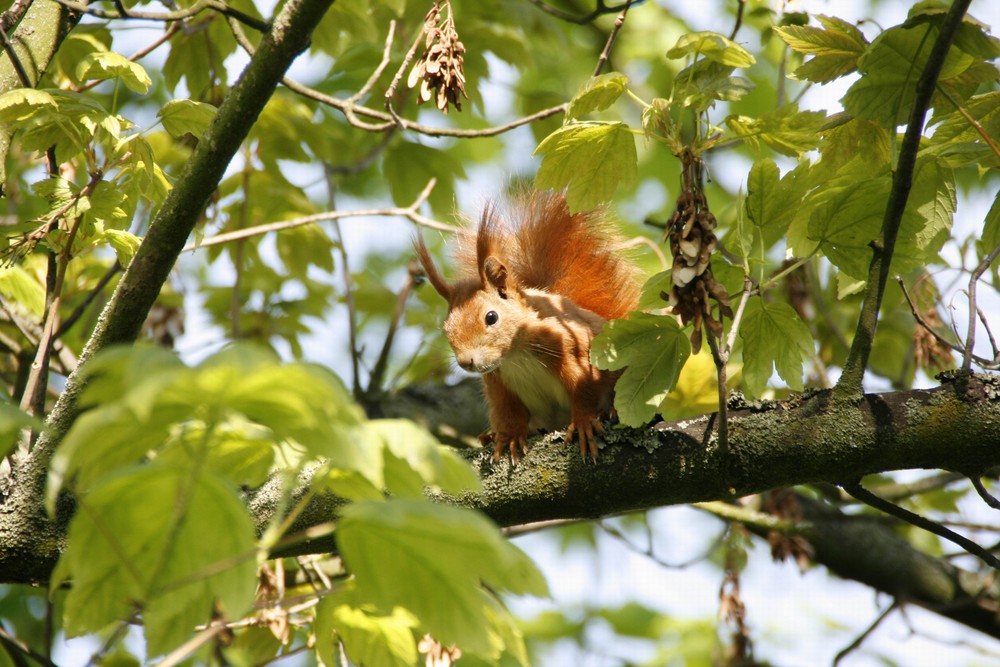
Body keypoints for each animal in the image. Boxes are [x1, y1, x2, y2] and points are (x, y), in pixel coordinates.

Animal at [416, 188, 640, 460]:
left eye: (491, 317)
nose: (466, 362)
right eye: (446, 327)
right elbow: (507, 413)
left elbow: (585, 389)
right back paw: (491, 435)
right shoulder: (498, 383)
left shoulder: (572, 347)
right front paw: (510, 436)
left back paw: (610, 412)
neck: (515, 355)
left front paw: (584, 422)